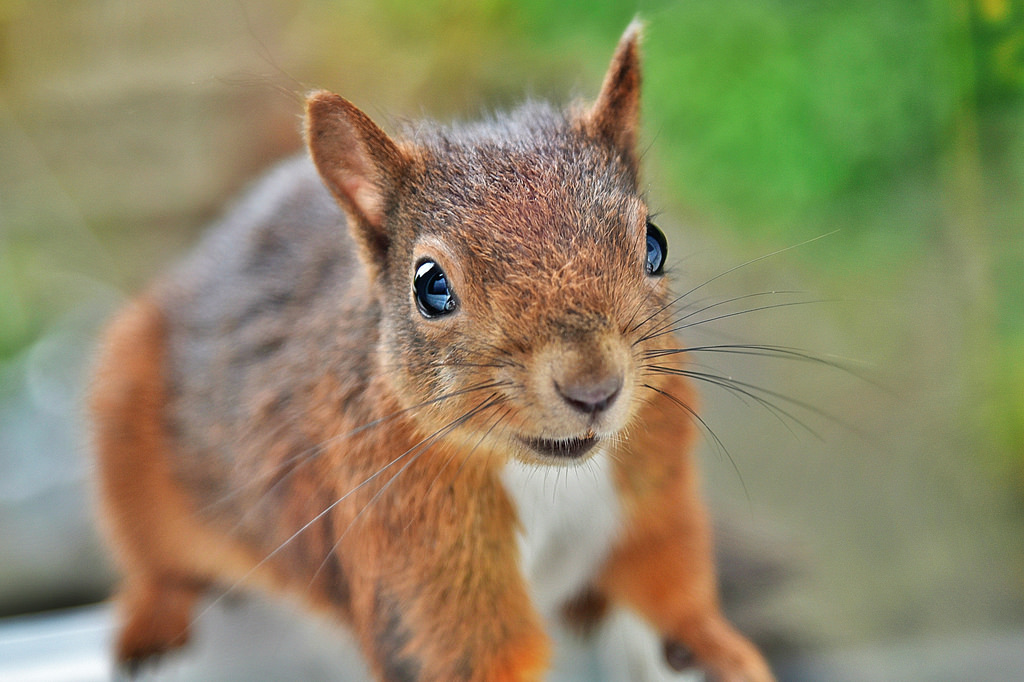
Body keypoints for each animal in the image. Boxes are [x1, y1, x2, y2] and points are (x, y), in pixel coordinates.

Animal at [90, 21, 774, 679]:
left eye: (655, 243)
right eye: (430, 286)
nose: (595, 388)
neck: (548, 477)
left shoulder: (655, 488)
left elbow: (669, 580)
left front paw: (720, 649)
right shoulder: (410, 551)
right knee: (157, 566)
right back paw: (153, 623)